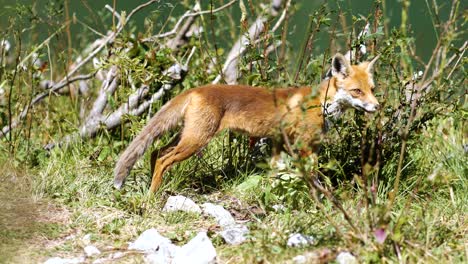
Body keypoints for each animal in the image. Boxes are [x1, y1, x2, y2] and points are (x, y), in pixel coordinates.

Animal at [113, 52, 380, 193]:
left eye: (372, 89)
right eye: (357, 91)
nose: (377, 106)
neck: (321, 104)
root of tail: (197, 89)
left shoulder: (283, 143)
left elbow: (277, 172)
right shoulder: (304, 147)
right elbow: (312, 178)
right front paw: (319, 199)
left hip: (186, 135)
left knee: (156, 152)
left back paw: (151, 186)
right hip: (196, 140)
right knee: (163, 159)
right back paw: (153, 194)